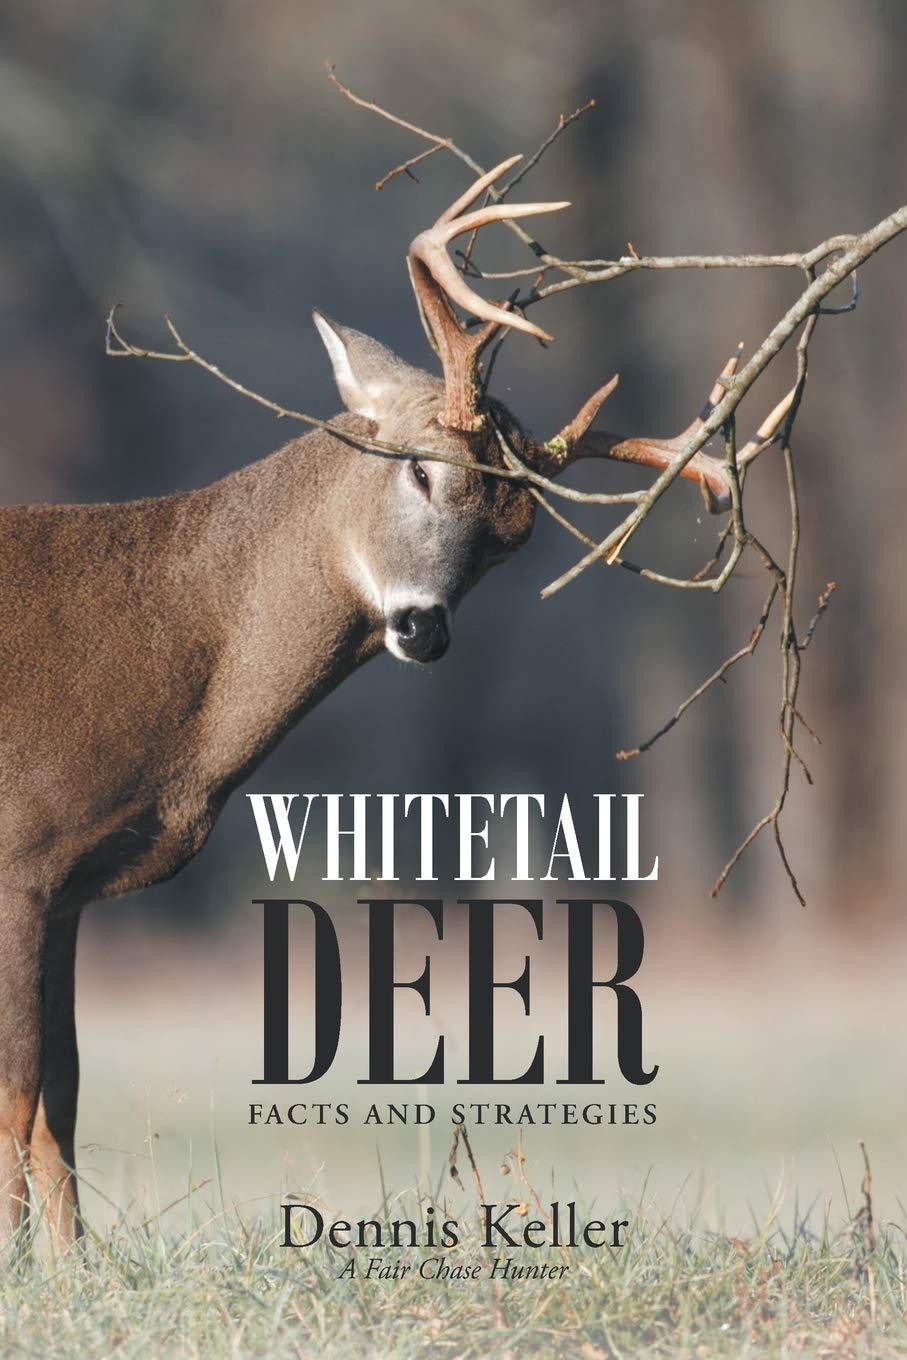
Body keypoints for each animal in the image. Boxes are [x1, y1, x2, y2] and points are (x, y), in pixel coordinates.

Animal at [0, 156, 783, 1252]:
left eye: (512, 541)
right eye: (416, 467)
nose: (424, 626)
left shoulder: (68, 886)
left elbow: (61, 1097)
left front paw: (73, 1268)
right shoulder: (21, 856)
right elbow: (19, 1092)